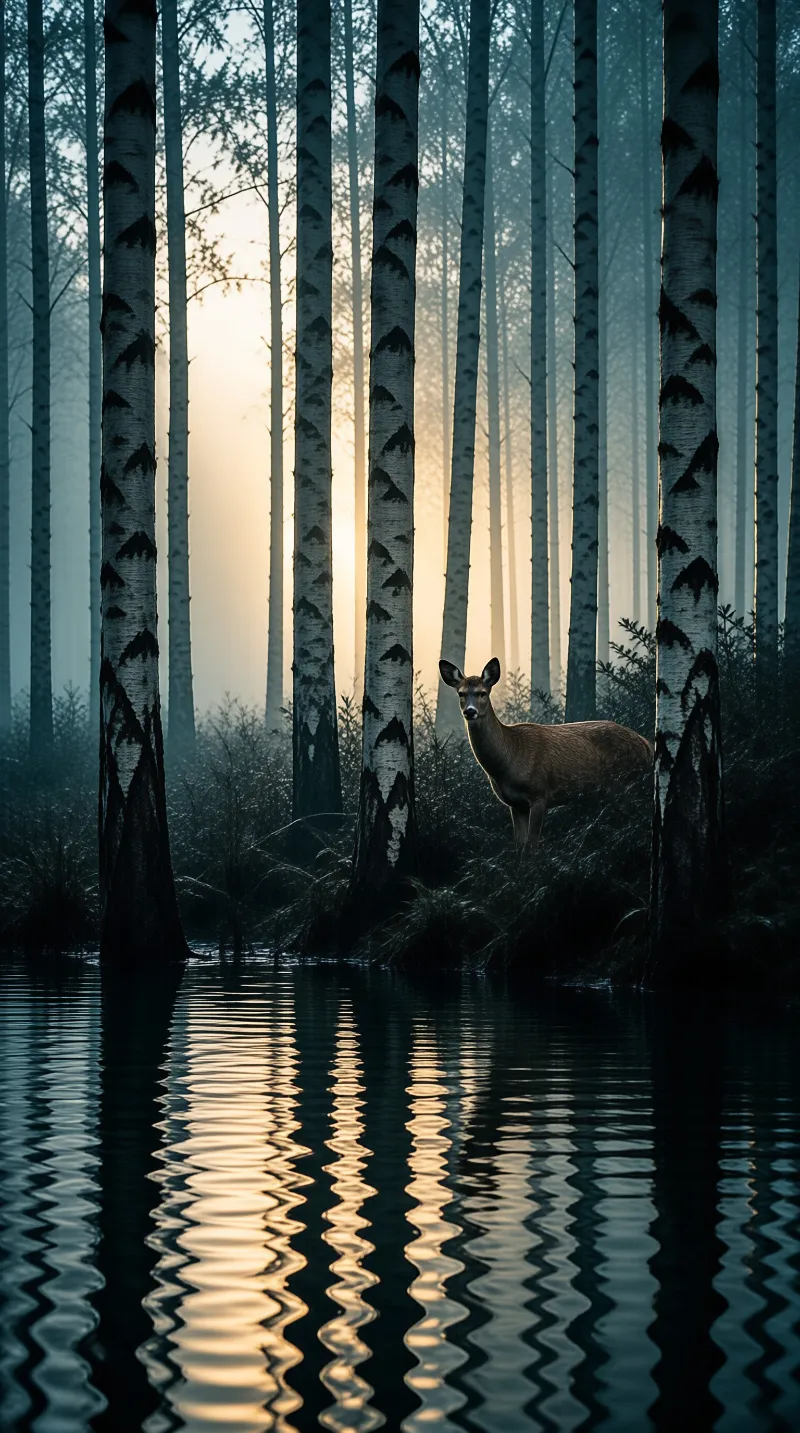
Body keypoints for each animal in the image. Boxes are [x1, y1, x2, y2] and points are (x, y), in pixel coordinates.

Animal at [439, 657, 653, 856]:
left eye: (483, 693)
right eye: (461, 693)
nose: (470, 711)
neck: (508, 762)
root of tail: (646, 744)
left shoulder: (540, 794)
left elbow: (532, 846)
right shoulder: (515, 805)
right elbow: (519, 847)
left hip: (628, 782)